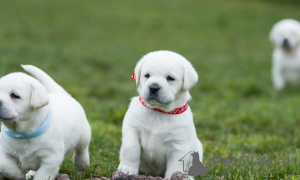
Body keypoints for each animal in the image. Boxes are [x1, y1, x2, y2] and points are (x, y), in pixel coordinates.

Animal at [117, 50, 204, 179]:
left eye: (170, 78)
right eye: (147, 75)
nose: (153, 87)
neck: (158, 112)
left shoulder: (178, 145)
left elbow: (175, 167)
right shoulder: (132, 130)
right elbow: (131, 150)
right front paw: (127, 169)